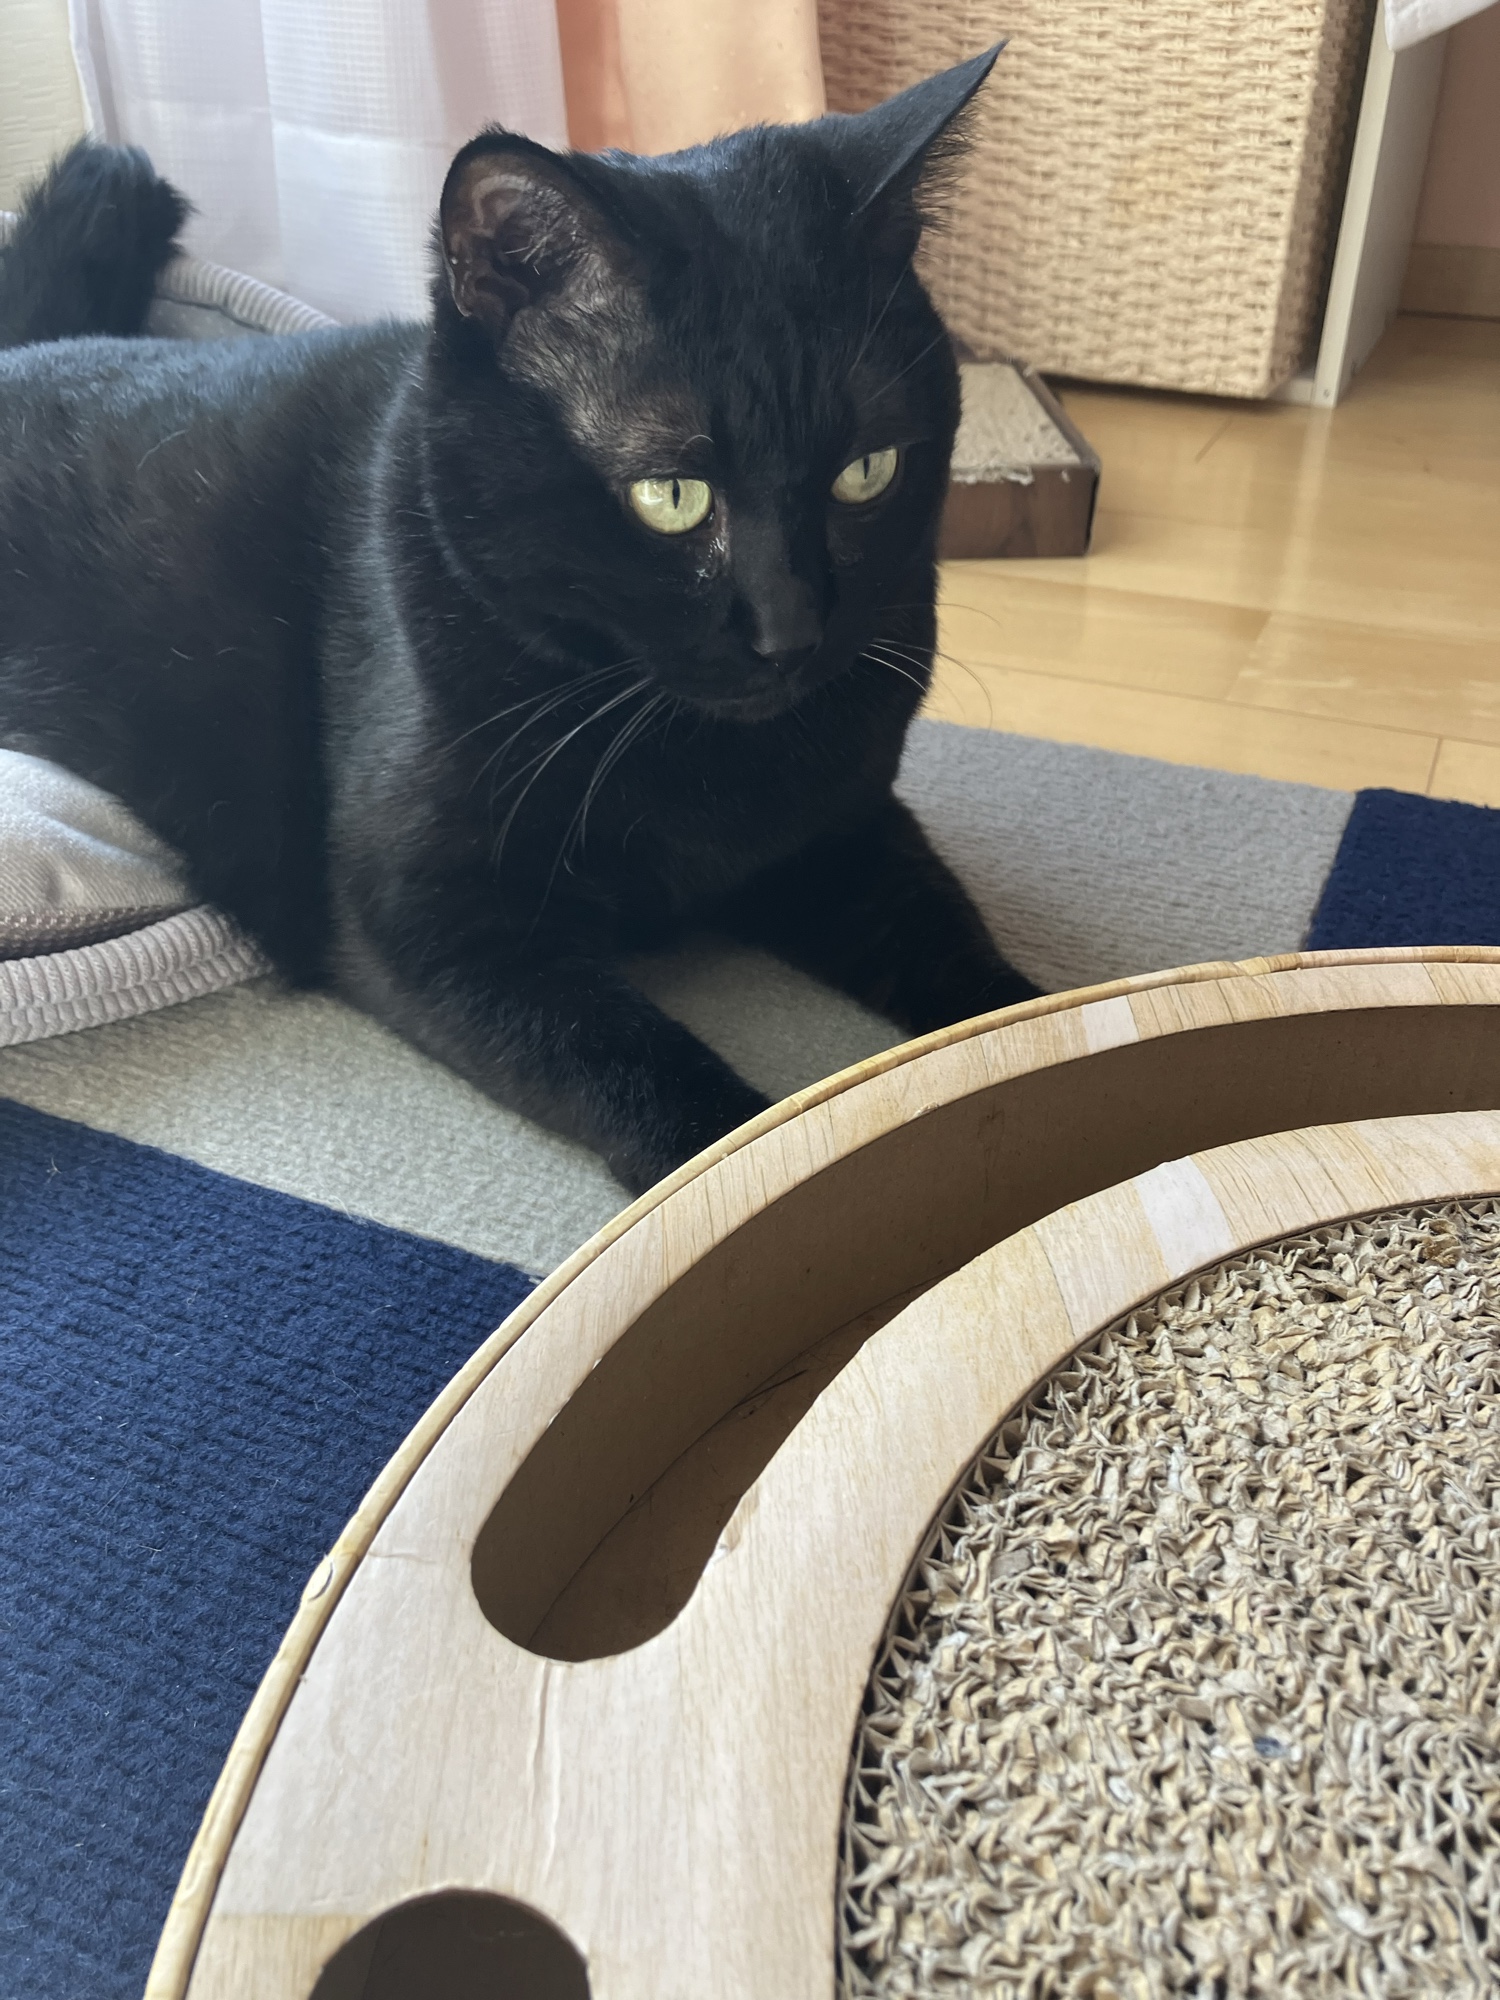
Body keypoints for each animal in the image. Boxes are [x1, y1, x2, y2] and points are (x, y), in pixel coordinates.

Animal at [0, 48, 1040, 1195]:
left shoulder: (847, 831)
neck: (690, 752)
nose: (792, 631)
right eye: (670, 495)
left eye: (867, 471)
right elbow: (639, 1068)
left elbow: (970, 965)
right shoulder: (427, 914)